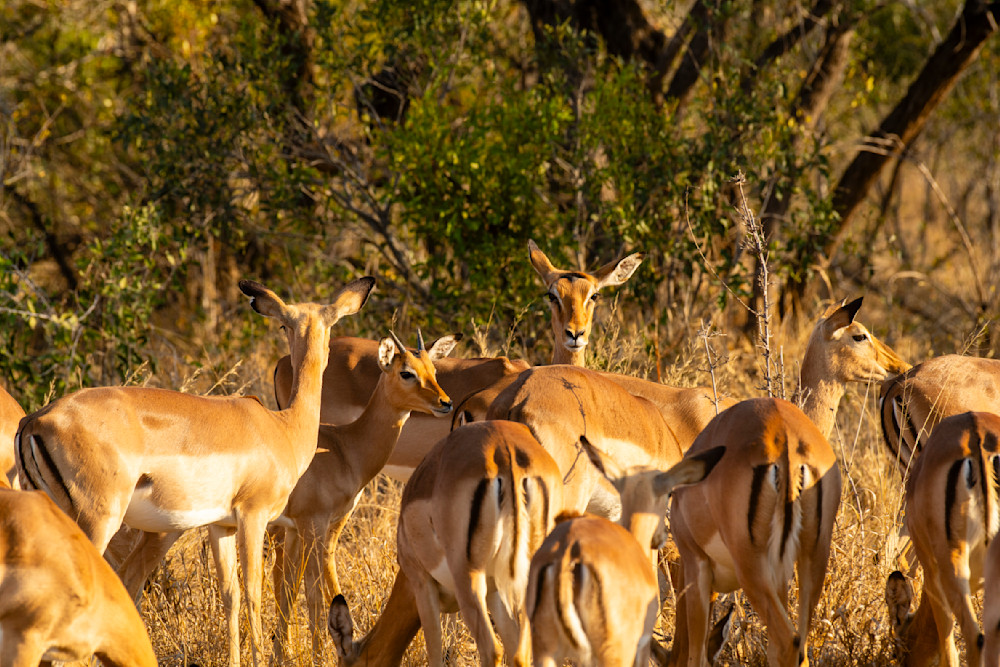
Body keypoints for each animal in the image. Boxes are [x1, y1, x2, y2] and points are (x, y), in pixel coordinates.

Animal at [270, 331, 457, 665]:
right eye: (405, 372)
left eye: (433, 370)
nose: (445, 403)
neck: (344, 448)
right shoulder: (313, 525)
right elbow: (313, 594)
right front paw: (318, 656)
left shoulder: (310, 527)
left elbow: (295, 590)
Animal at [330, 420, 565, 667]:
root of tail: (505, 449)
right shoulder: (495, 595)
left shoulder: (421, 584)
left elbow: (435, 653)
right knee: (524, 653)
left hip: (468, 580)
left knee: (492, 649)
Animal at [668, 397, 842, 667]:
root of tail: (786, 439)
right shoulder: (778, 575)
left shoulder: (695, 562)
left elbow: (696, 657)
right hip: (813, 558)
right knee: (799, 646)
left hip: (750, 567)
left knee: (789, 642)